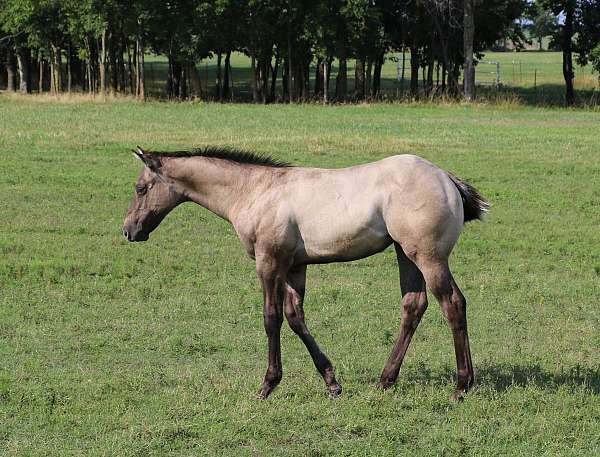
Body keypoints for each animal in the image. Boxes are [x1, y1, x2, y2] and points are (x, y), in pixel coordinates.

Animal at [122, 146, 488, 400]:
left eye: (140, 188)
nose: (129, 230)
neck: (255, 191)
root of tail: (447, 178)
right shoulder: (295, 267)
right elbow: (295, 317)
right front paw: (332, 382)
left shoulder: (269, 262)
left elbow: (271, 318)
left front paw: (267, 386)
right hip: (405, 254)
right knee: (414, 305)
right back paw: (385, 380)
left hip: (427, 256)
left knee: (453, 303)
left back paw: (461, 386)